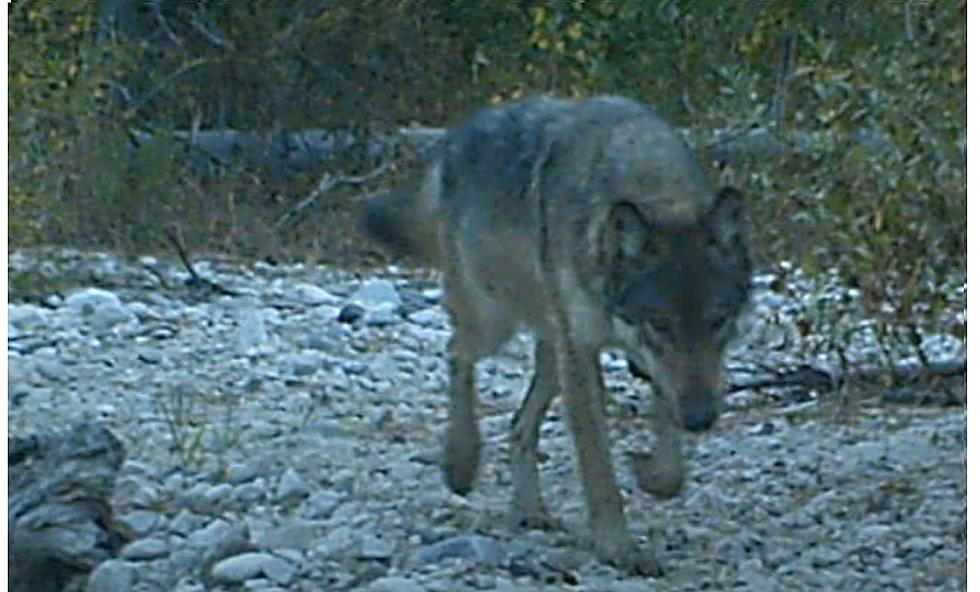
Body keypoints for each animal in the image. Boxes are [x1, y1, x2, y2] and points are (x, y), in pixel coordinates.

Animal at [364, 96, 756, 572]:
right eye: (660, 324)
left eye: (718, 321)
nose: (701, 420)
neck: (649, 181)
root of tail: (455, 137)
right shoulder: (586, 353)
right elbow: (597, 465)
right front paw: (617, 547)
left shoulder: (652, 365)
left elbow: (669, 454)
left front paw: (651, 473)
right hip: (496, 323)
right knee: (457, 353)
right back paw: (460, 461)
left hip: (551, 353)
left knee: (518, 425)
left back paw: (530, 509)